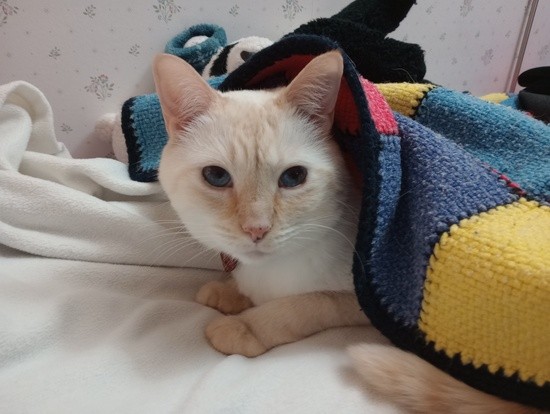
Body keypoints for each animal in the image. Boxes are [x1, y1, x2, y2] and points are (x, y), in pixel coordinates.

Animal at [153, 51, 540, 414]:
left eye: (293, 177)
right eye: (216, 176)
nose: (256, 229)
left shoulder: (363, 301)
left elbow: (304, 304)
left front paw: (244, 326)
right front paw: (228, 291)